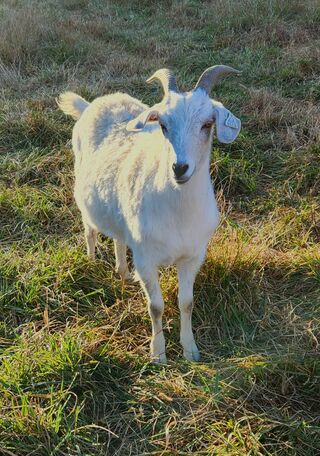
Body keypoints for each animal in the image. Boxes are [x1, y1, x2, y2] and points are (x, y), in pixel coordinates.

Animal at [58, 65, 241, 364]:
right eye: (163, 125)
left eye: (207, 124)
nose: (179, 168)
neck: (178, 212)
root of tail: (93, 103)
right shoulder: (146, 258)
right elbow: (155, 306)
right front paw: (158, 354)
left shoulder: (192, 256)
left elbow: (186, 302)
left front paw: (190, 350)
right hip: (84, 197)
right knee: (90, 231)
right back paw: (92, 261)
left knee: (119, 238)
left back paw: (122, 272)